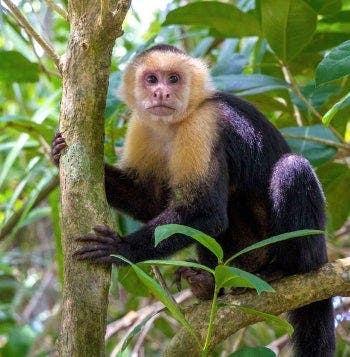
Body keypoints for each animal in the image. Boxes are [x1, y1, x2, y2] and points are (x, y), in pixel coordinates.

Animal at [51, 44, 334, 356]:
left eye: (173, 79)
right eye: (152, 79)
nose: (161, 93)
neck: (172, 126)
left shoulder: (202, 126)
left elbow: (207, 213)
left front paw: (120, 248)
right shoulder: (141, 127)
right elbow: (150, 202)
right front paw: (58, 153)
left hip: (300, 249)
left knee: (292, 169)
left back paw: (285, 269)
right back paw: (209, 284)